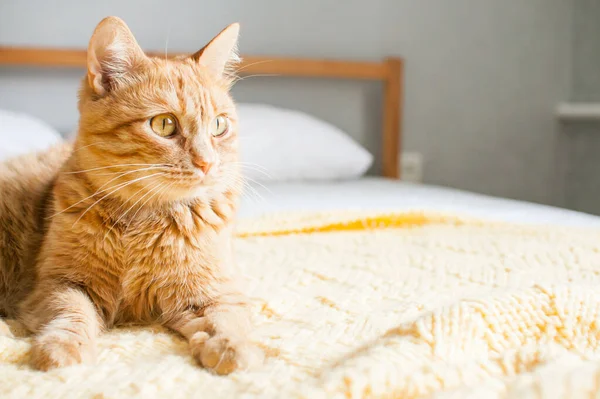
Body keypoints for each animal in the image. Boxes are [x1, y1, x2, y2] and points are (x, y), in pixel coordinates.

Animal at [0, 16, 262, 376]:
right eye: (164, 124)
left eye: (219, 125)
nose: (207, 163)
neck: (145, 221)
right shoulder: (59, 284)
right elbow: (72, 314)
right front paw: (62, 348)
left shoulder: (213, 292)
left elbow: (224, 320)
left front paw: (231, 347)